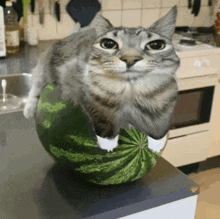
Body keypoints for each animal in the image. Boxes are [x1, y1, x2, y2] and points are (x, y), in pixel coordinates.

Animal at [23, 5, 180, 152]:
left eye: (156, 45)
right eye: (109, 44)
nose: (130, 59)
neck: (130, 91)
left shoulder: (167, 101)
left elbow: (159, 126)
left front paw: (156, 144)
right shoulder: (86, 94)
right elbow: (103, 119)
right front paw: (108, 144)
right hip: (45, 67)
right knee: (36, 86)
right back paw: (29, 110)